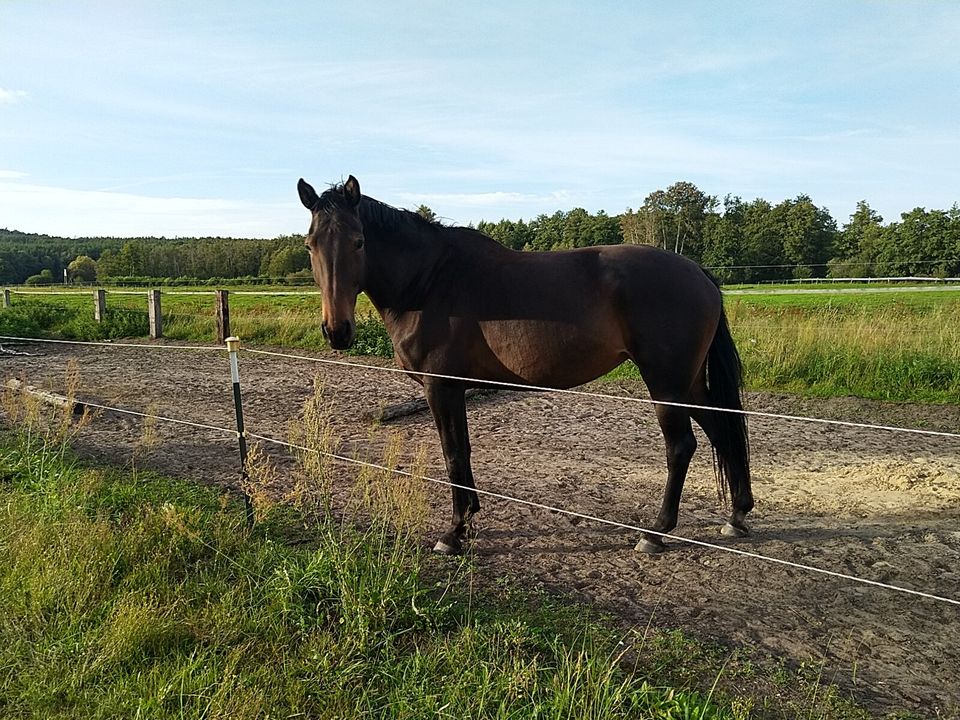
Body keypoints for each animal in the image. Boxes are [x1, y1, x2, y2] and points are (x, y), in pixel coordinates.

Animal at [296, 176, 752, 556]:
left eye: (358, 241)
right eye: (310, 244)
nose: (337, 331)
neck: (429, 282)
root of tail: (699, 273)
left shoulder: (440, 387)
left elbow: (453, 455)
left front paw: (453, 533)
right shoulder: (455, 388)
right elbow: (463, 452)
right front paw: (468, 520)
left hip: (666, 384)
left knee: (682, 447)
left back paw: (655, 533)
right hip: (689, 383)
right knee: (723, 431)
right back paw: (737, 515)